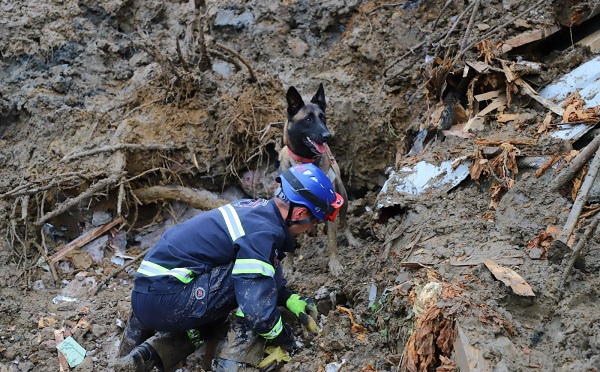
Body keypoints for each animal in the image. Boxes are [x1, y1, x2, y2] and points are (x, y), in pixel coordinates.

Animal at [278, 84, 358, 276]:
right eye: (308, 119)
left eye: (323, 118)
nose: (328, 135)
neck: (305, 162)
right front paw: (288, 266)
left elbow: (332, 240)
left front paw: (334, 264)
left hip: (343, 198)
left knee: (343, 223)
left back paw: (351, 240)